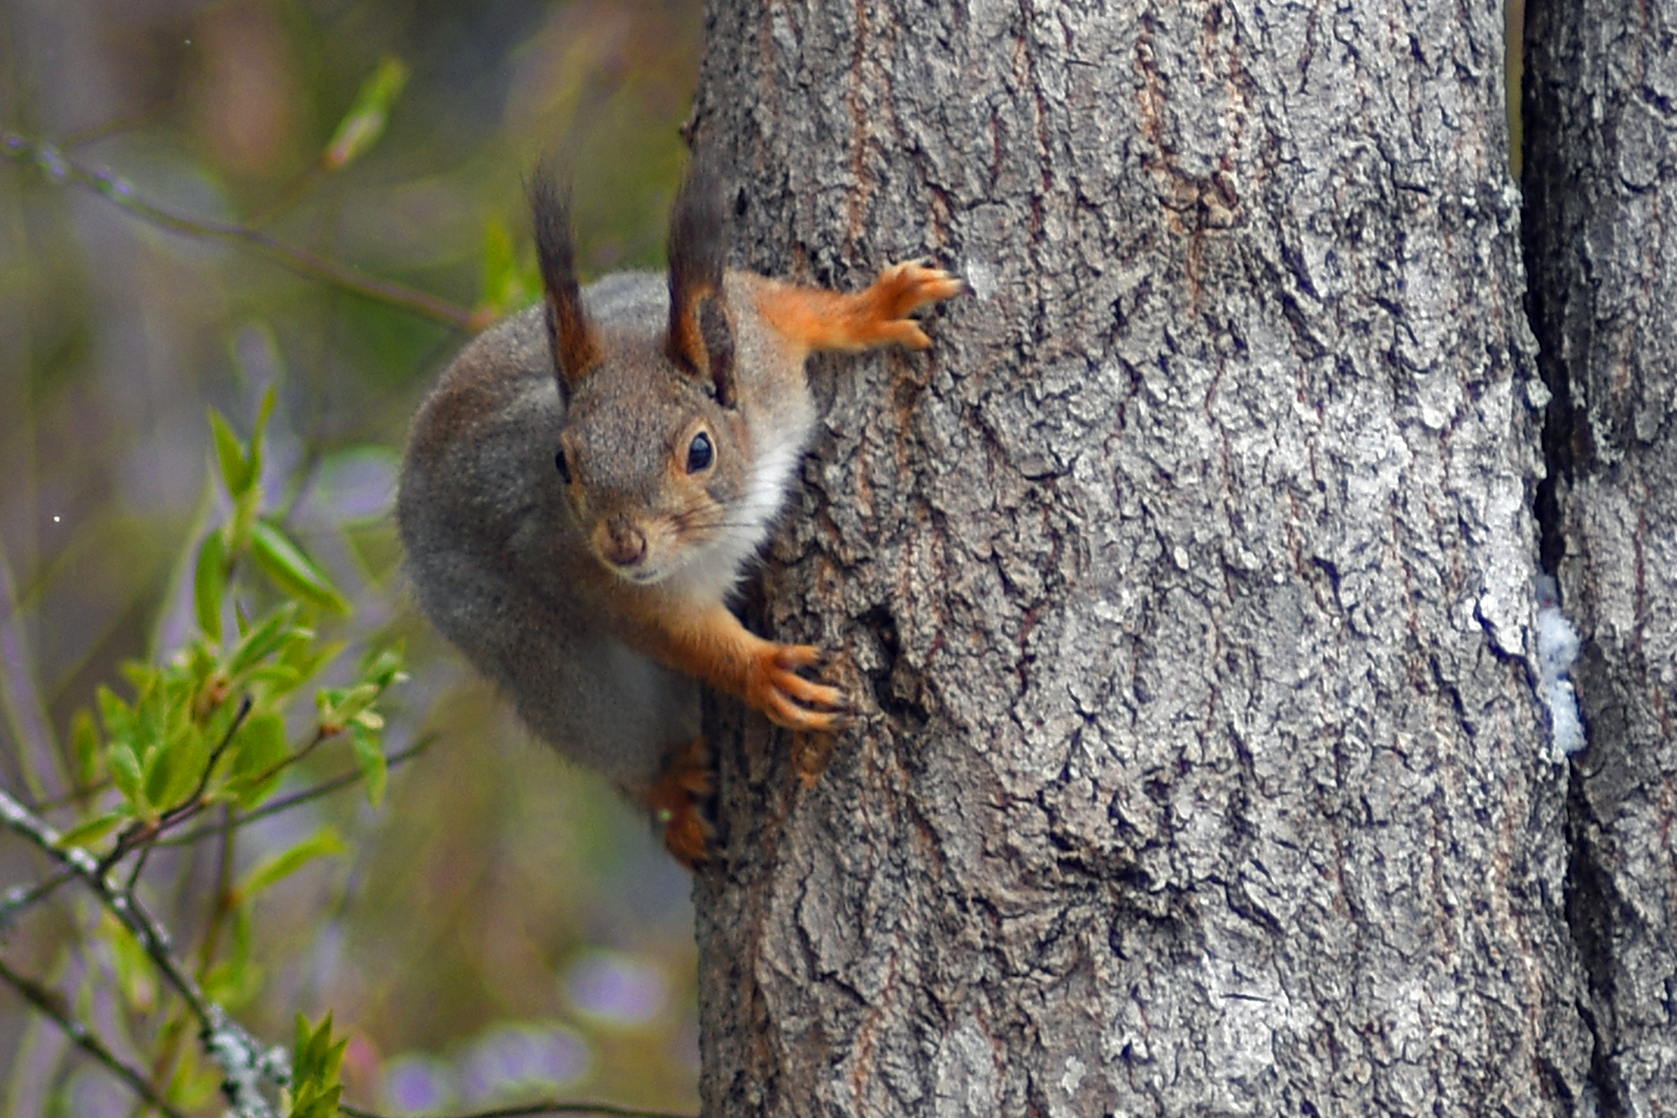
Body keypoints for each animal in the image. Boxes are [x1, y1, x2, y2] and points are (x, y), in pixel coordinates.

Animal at [394, 157, 965, 871]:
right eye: (562, 462)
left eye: (700, 450)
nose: (623, 546)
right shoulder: (585, 574)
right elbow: (679, 634)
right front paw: (764, 674)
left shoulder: (758, 338)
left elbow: (798, 309)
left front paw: (873, 307)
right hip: (530, 651)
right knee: (606, 733)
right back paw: (667, 793)